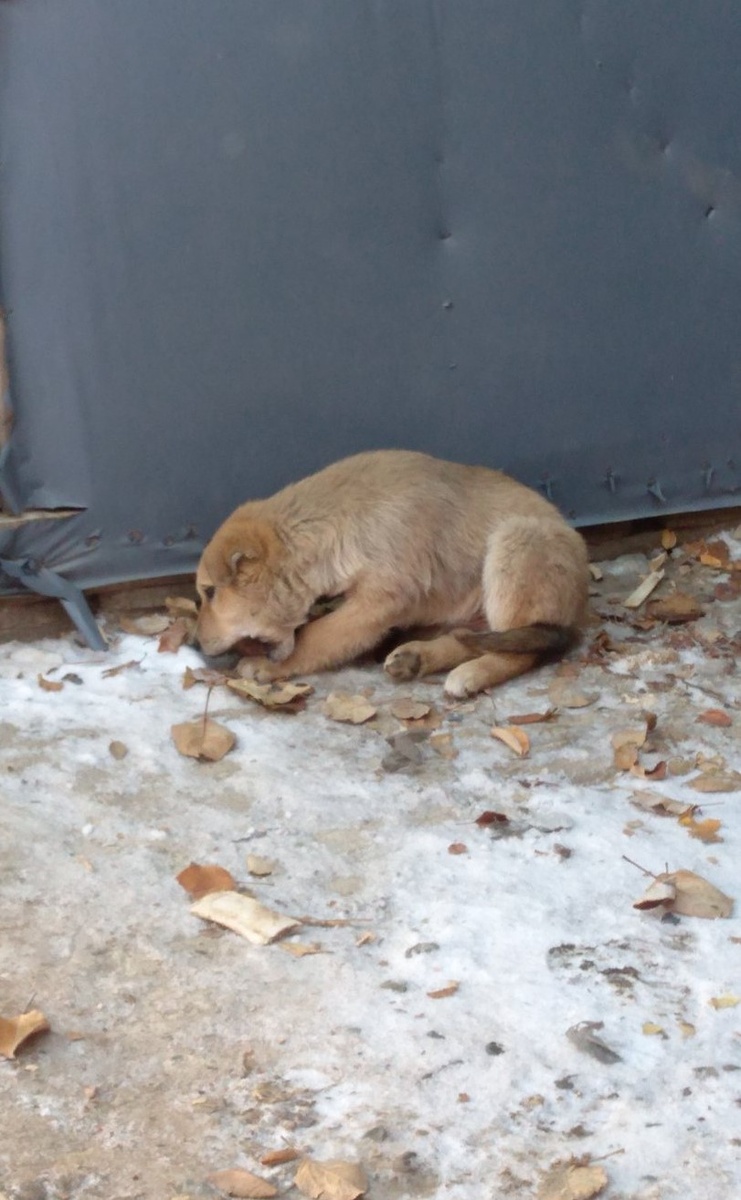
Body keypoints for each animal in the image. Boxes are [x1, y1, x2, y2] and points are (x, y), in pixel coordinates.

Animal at [194, 448, 587, 696]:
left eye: (210, 592)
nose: (196, 644)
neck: (333, 526)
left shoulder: (377, 603)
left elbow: (314, 637)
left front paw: (267, 666)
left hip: (516, 540)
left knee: (526, 647)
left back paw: (472, 674)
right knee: (473, 637)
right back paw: (418, 658)